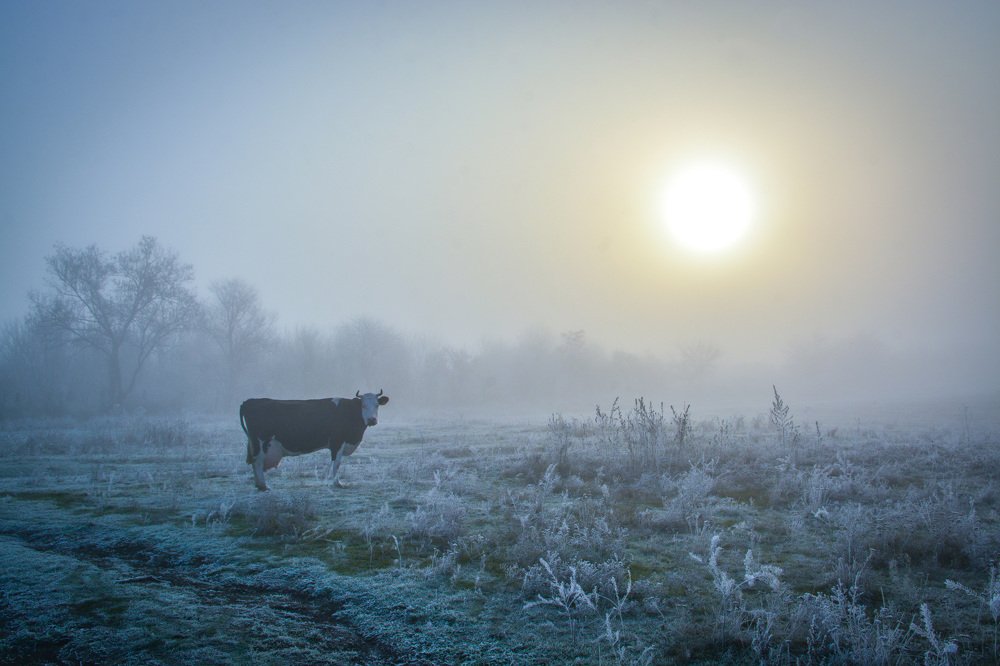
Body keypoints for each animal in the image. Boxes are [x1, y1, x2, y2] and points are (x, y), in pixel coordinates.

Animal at [240, 390, 389, 491]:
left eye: (377, 405)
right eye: (363, 405)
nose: (372, 420)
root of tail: (248, 401)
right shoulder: (337, 442)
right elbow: (336, 463)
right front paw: (337, 483)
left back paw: (259, 485)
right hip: (260, 443)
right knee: (257, 462)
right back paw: (264, 486)